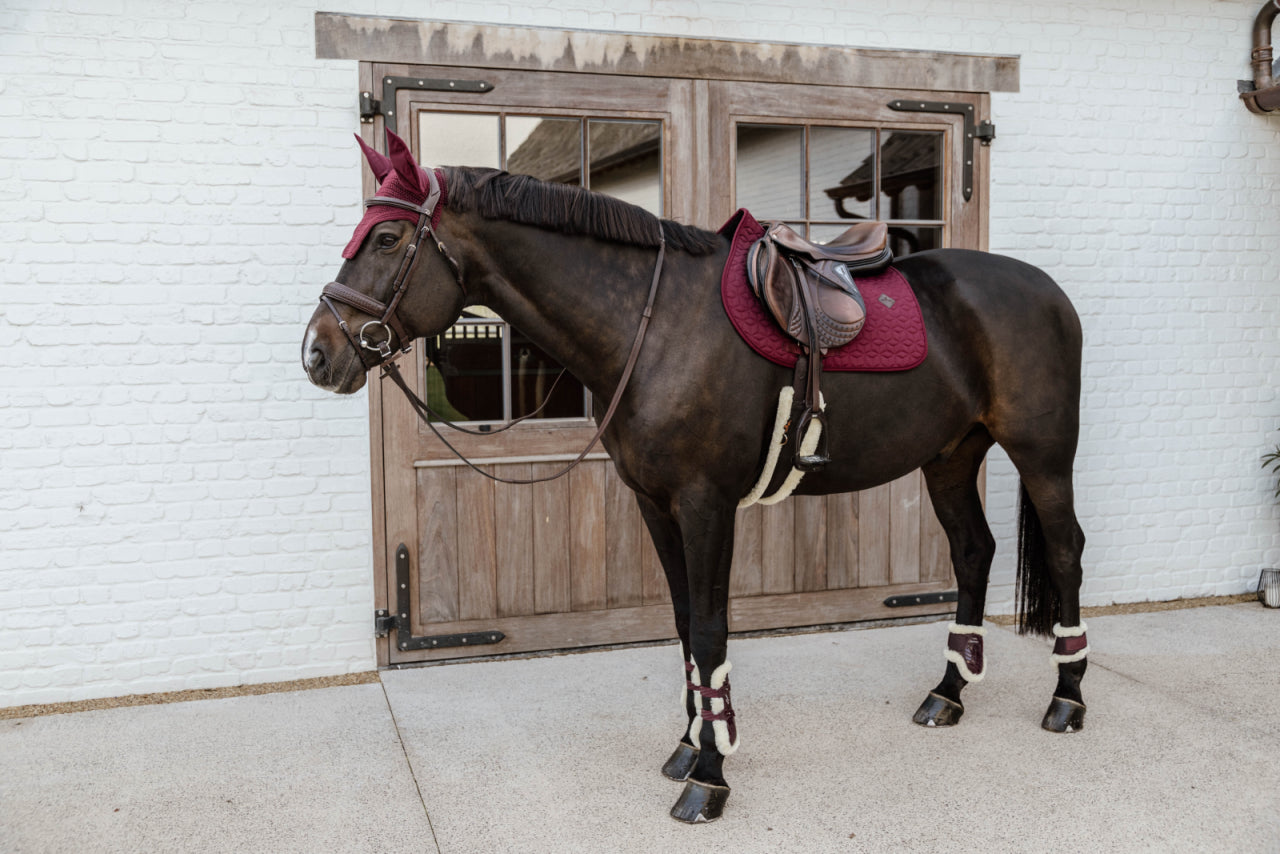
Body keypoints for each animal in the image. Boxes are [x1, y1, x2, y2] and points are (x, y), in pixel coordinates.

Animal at [304, 131, 1085, 819]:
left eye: (385, 238)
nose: (317, 353)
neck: (651, 328)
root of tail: (1048, 290)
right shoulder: (655, 504)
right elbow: (683, 624)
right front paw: (688, 745)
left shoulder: (707, 504)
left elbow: (710, 632)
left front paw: (710, 777)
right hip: (951, 456)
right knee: (973, 552)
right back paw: (948, 693)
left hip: (1043, 456)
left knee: (1067, 553)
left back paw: (1067, 699)